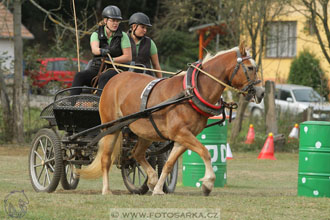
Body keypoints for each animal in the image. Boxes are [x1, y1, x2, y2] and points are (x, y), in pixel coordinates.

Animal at [76, 41, 264, 196]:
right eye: (250, 68)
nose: (261, 93)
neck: (190, 92)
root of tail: (114, 78)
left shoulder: (182, 138)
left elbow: (169, 164)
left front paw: (159, 188)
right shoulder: (181, 133)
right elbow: (205, 152)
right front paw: (208, 183)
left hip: (145, 133)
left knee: (137, 154)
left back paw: (151, 179)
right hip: (110, 128)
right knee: (106, 158)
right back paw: (106, 190)